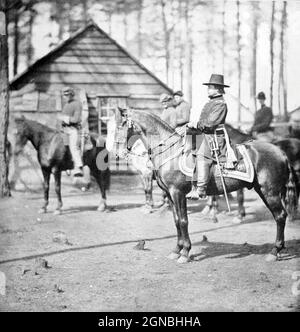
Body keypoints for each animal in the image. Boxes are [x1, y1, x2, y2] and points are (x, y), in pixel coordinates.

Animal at [113, 109, 298, 264]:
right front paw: (176, 250)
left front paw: (185, 252)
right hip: (265, 191)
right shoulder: (170, 195)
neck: (169, 151)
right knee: (279, 216)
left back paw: (274, 251)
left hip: (270, 192)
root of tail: (281, 152)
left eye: (121, 125)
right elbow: (176, 221)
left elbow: (183, 221)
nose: (118, 153)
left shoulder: (178, 193)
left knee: (280, 216)